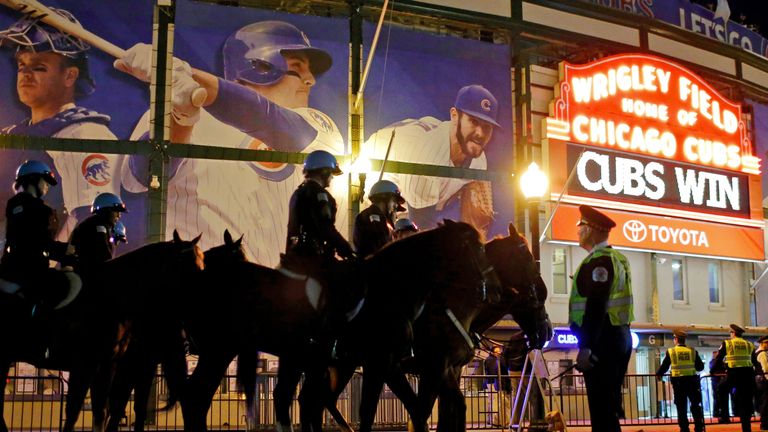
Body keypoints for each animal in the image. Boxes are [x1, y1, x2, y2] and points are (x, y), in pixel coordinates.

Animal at [0, 231, 204, 432]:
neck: (110, 299)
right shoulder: (86, 364)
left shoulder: (114, 365)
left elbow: (104, 410)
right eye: (182, 263)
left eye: (201, 265)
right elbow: (76, 411)